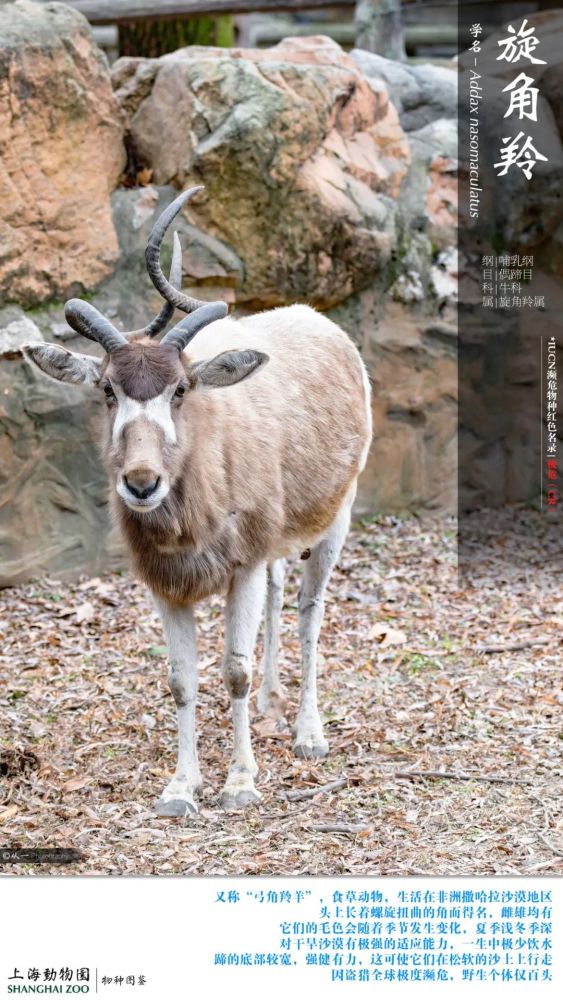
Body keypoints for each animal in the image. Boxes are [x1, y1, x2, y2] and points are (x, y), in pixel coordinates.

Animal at [24, 186, 372, 812]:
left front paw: (239, 783)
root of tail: (319, 322)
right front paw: (182, 787)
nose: (142, 483)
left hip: (337, 516)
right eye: (108, 389)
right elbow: (180, 680)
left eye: (181, 389)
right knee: (281, 589)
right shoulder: (167, 585)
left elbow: (232, 671)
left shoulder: (241, 570)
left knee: (309, 609)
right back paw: (271, 703)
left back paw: (308, 732)